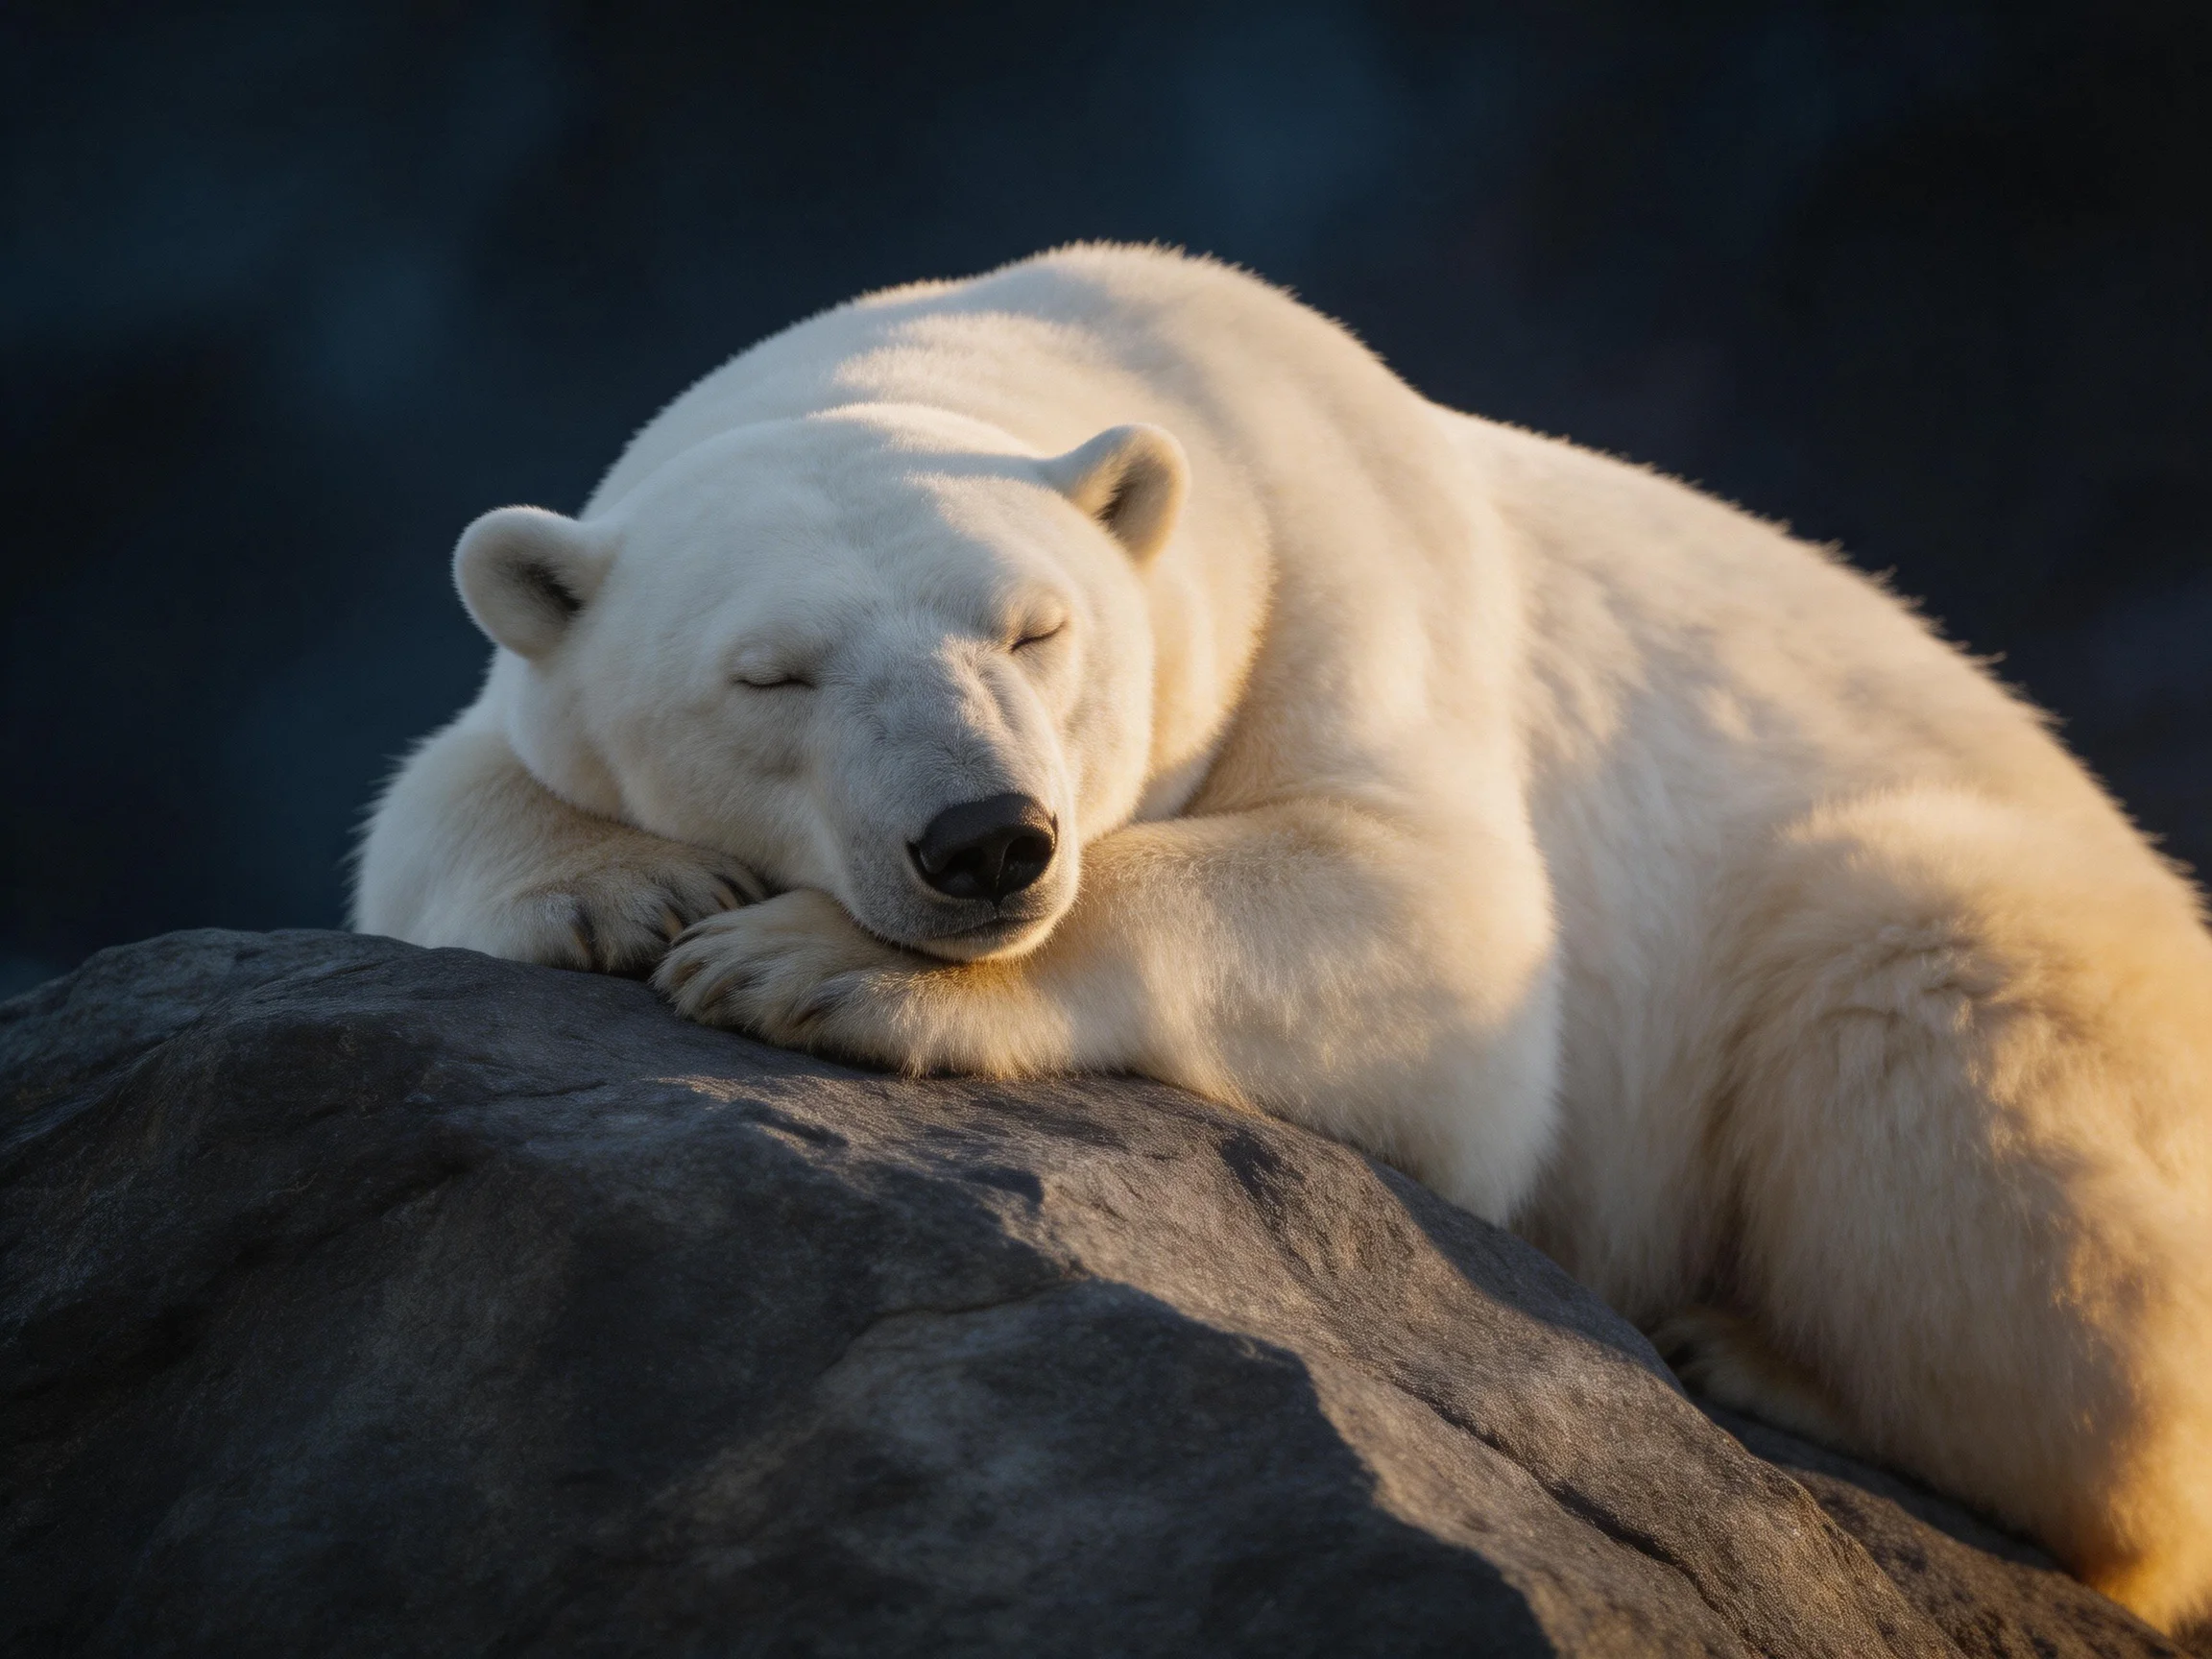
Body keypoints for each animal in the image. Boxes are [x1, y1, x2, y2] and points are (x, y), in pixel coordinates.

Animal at [355, 244, 2212, 1632]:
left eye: (1033, 630)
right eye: (773, 674)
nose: (984, 840)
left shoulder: (1346, 585)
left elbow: (1439, 938)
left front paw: (808, 963)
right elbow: (435, 796)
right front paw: (642, 891)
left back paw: (1761, 1353)